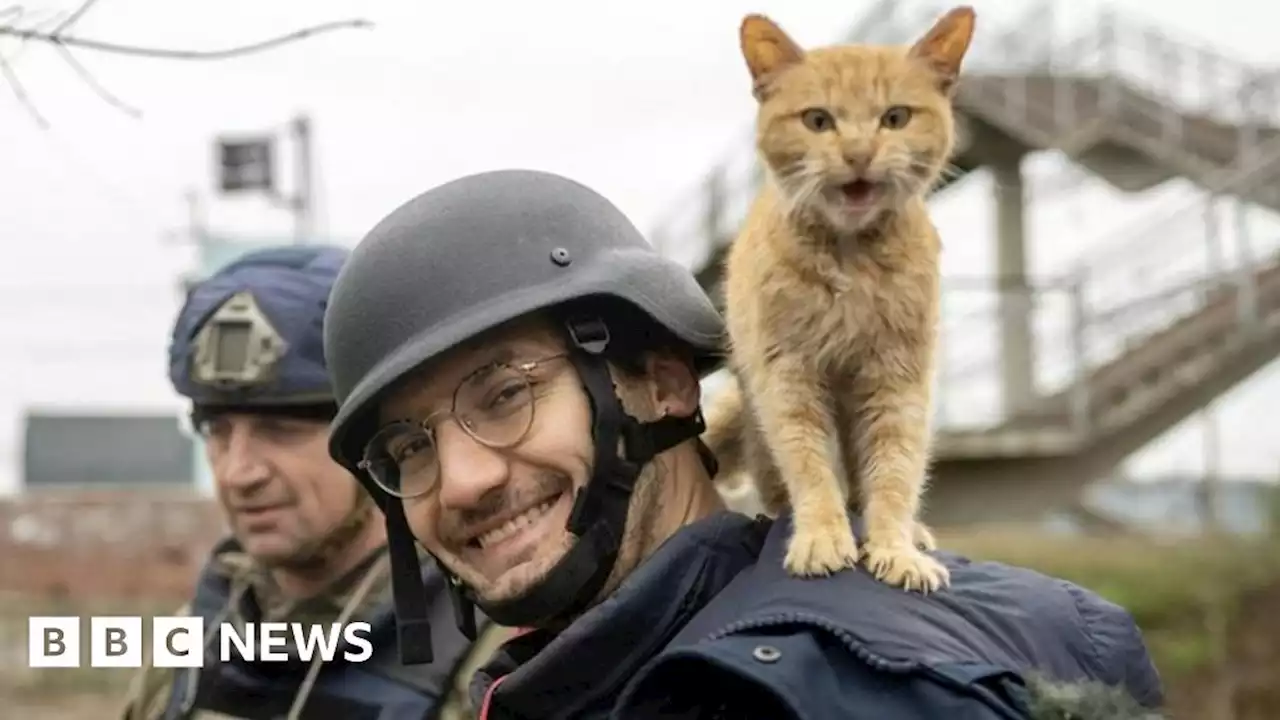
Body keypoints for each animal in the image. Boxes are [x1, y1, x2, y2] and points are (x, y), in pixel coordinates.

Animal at [706, 7, 972, 589]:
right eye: (818, 121)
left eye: (895, 117)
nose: (858, 153)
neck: (850, 261)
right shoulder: (788, 377)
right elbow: (810, 466)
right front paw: (822, 537)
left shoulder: (898, 380)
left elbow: (894, 471)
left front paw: (895, 546)